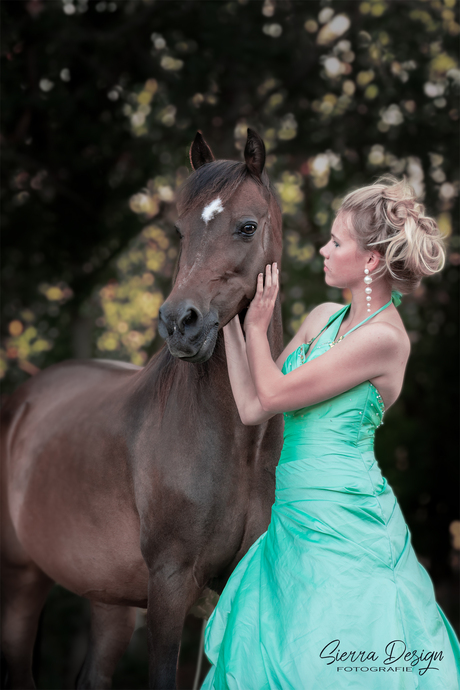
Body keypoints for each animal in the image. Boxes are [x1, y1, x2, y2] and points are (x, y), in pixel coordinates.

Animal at [0, 130, 284, 688]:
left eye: (247, 226)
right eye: (179, 231)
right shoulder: (170, 587)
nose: (180, 323)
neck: (234, 441)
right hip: (21, 582)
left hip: (109, 599)